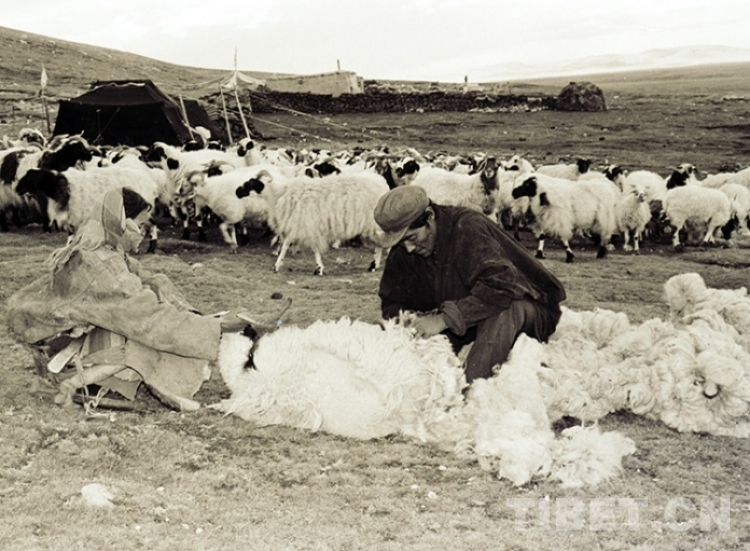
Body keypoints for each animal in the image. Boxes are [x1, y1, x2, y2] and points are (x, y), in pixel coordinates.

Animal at [237, 169, 391, 275]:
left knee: (381, 244)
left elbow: (288, 245)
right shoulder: (306, 226)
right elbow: (309, 247)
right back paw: (375, 265)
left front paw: (277, 266)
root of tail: (383, 183)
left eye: (252, 182)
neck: (279, 194)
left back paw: (374, 265)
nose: (237, 192)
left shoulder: (301, 224)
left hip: (373, 223)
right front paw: (318, 268)